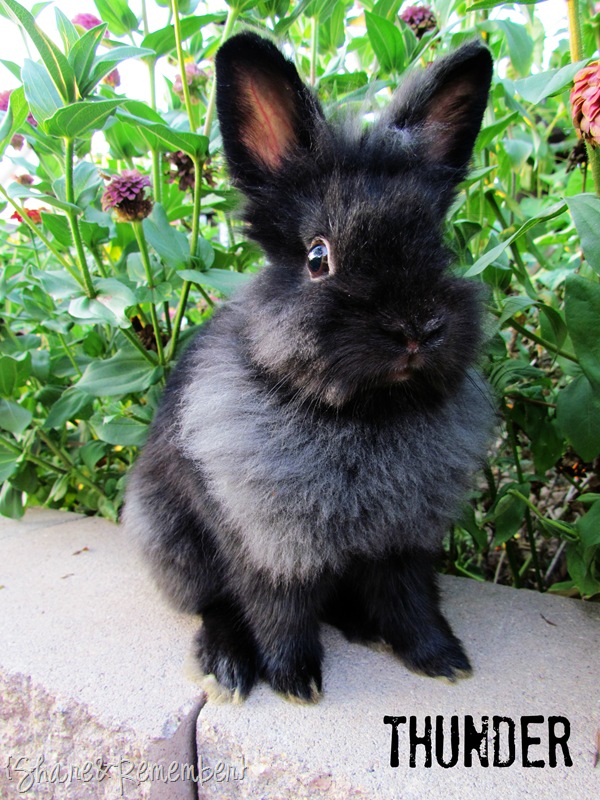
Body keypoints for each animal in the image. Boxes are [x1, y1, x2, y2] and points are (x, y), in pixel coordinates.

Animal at [122, 31, 495, 703]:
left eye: (440, 245)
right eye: (319, 256)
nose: (416, 329)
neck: (365, 413)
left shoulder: (402, 545)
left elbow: (411, 602)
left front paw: (444, 660)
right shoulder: (267, 546)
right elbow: (278, 610)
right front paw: (297, 681)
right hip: (172, 541)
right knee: (213, 606)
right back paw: (227, 667)